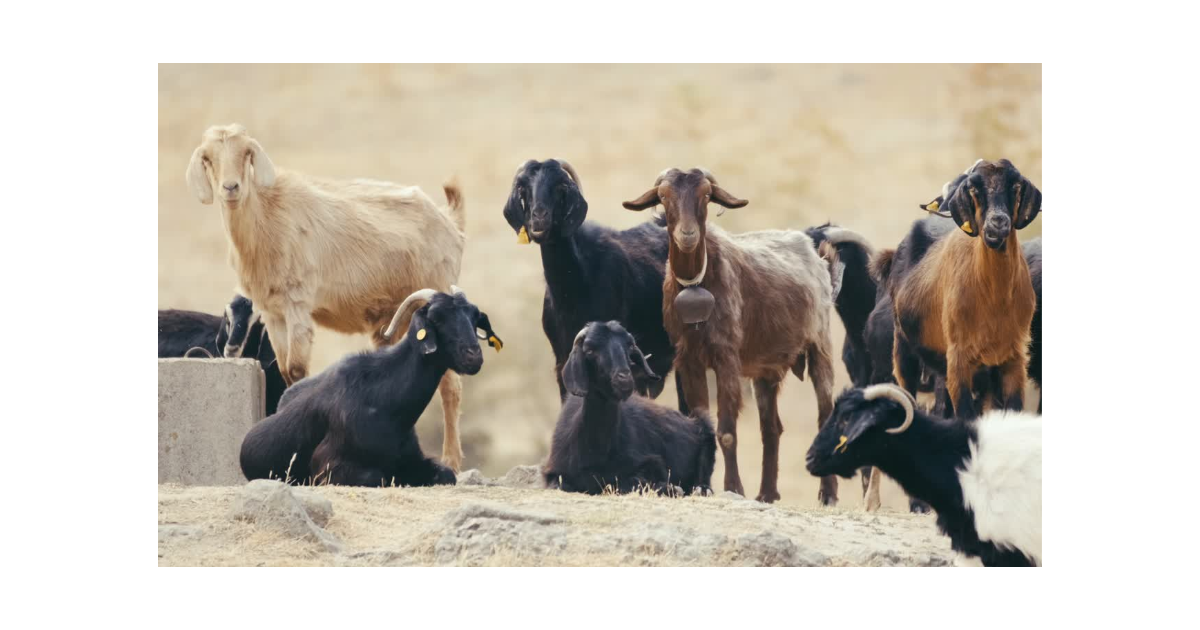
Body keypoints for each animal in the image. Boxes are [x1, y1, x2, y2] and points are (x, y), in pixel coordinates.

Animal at [186, 124, 471, 471]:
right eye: (208, 158)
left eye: (247, 153)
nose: (231, 187)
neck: (267, 216)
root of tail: (450, 223)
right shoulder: (273, 312)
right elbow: (285, 370)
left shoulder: (297, 303)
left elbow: (296, 370)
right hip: (392, 317)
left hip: (436, 289)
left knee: (451, 386)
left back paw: (452, 460)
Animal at [239, 287, 502, 487]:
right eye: (436, 317)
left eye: (474, 316)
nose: (473, 356)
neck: (385, 401)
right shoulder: (328, 466)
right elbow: (377, 477)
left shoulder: (411, 459)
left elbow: (446, 474)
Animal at [543, 321, 715, 496]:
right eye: (590, 350)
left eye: (629, 347)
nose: (624, 379)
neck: (596, 450)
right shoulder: (554, 472)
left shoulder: (651, 463)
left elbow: (632, 482)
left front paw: (671, 488)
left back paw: (700, 489)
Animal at [624, 168, 837, 505]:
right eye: (663, 197)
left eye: (706, 195)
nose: (687, 235)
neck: (697, 283)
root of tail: (820, 259)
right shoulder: (688, 359)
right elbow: (702, 422)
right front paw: (703, 487)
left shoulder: (727, 357)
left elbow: (726, 430)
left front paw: (734, 487)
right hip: (766, 369)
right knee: (771, 428)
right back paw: (766, 493)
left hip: (820, 345)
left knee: (824, 414)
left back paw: (827, 494)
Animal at [888, 159, 1040, 420]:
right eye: (974, 188)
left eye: (1016, 186)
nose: (998, 223)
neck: (994, 300)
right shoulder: (959, 359)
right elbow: (966, 416)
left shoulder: (1014, 357)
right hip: (903, 347)